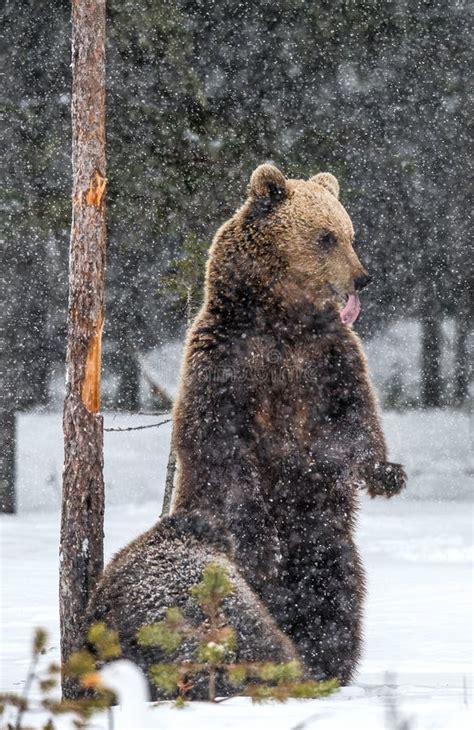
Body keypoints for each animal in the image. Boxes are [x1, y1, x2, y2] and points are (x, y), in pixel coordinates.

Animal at [172, 164, 406, 684]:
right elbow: (220, 443)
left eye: (350, 233)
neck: (281, 320)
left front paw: (387, 473)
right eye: (325, 236)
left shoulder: (327, 358)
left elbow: (354, 418)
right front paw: (260, 526)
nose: (363, 277)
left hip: (324, 533)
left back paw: (326, 661)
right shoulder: (228, 358)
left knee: (334, 590)